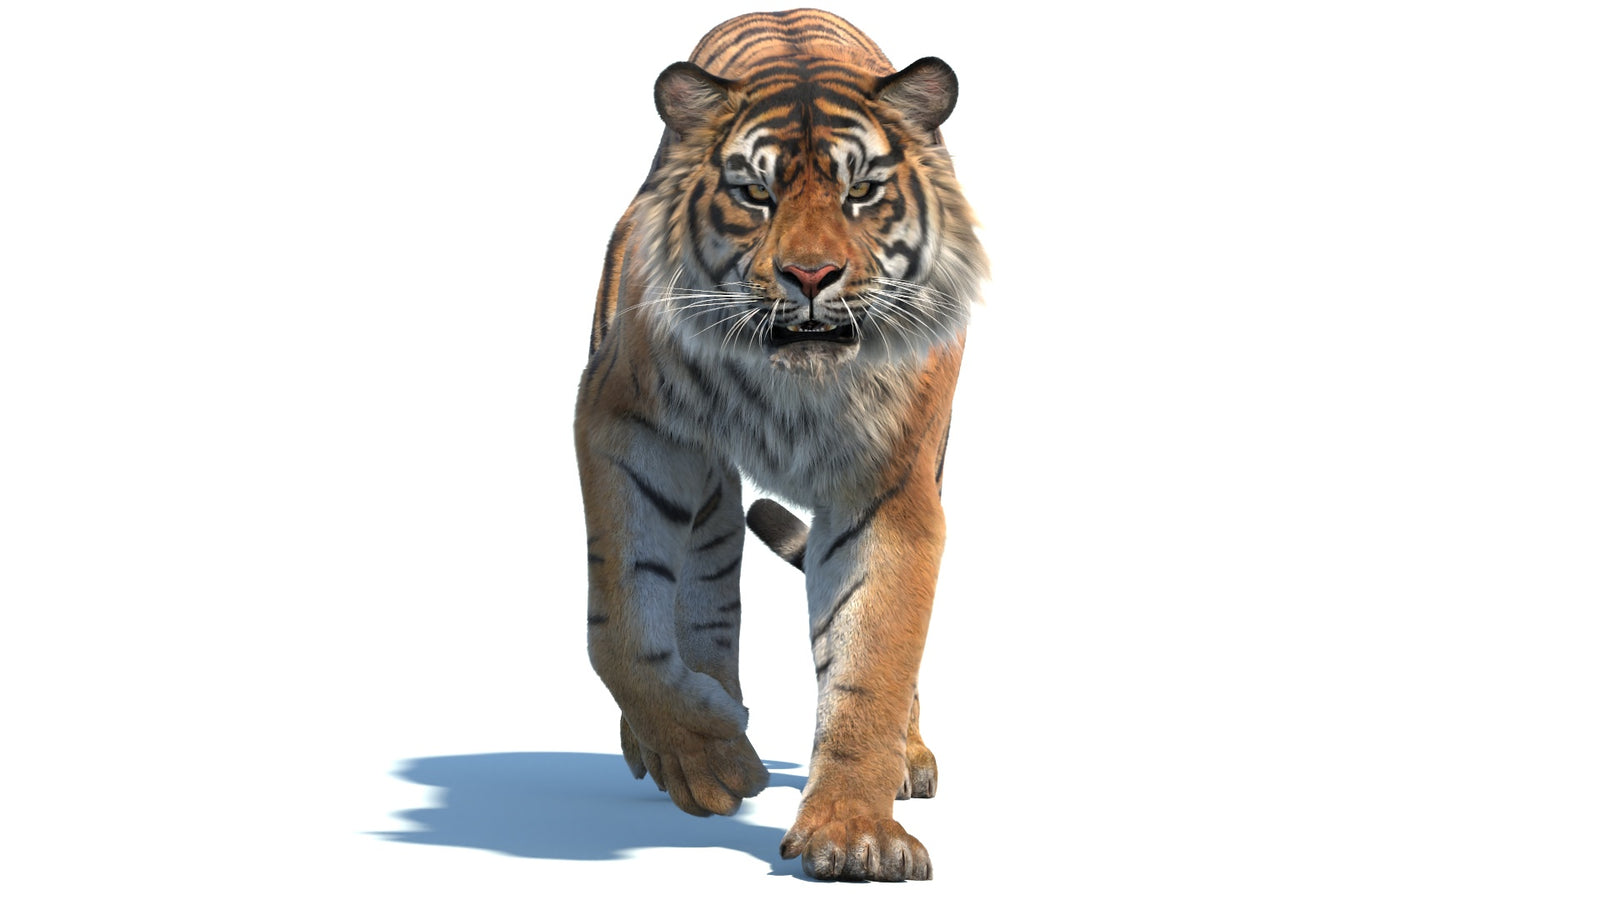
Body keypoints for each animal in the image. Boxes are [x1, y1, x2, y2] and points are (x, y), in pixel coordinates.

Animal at [573, 8, 987, 881]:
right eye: (755, 195)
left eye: (861, 192)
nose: (811, 275)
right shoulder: (627, 424)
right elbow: (620, 625)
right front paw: (703, 756)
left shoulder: (890, 486)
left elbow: (874, 656)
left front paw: (855, 833)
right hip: (708, 495)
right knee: (703, 600)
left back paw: (908, 755)